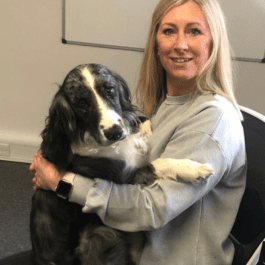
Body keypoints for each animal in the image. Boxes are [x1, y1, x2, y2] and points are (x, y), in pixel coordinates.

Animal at [30, 64, 212, 264]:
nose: (114, 132)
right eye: (82, 103)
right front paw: (193, 169)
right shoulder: (123, 177)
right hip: (99, 234)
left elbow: (142, 118)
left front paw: (144, 127)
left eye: (110, 90)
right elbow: (158, 164)